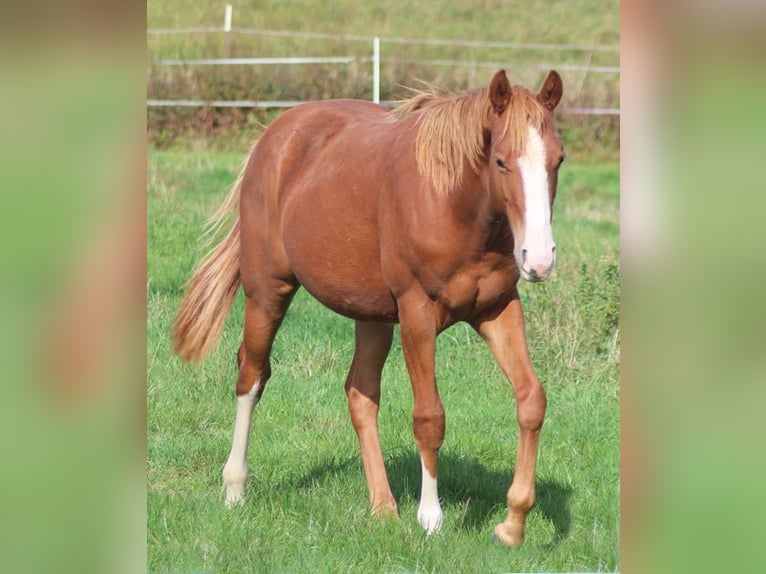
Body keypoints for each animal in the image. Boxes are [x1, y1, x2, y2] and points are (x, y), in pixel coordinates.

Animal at [172, 69, 564, 547]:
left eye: (558, 160)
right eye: (502, 161)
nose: (539, 260)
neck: (452, 203)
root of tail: (276, 135)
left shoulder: (498, 309)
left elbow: (531, 400)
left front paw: (512, 523)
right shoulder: (417, 314)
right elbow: (429, 417)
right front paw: (431, 518)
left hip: (371, 315)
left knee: (360, 394)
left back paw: (383, 508)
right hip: (267, 291)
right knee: (252, 375)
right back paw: (234, 488)